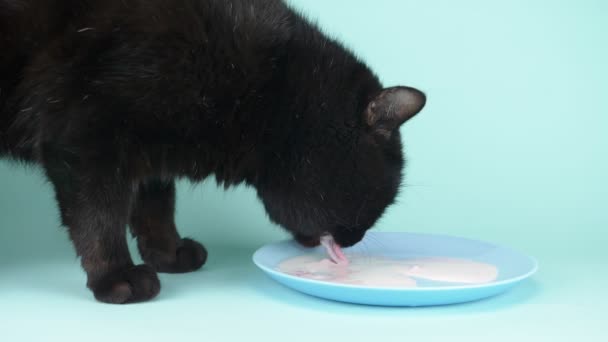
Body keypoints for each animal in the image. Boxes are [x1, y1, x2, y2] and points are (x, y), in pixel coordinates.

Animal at [0, 0, 426, 304]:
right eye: (378, 200)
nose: (354, 240)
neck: (264, 85)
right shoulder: (86, 135)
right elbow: (100, 216)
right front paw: (116, 275)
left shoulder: (149, 150)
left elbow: (156, 204)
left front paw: (168, 252)